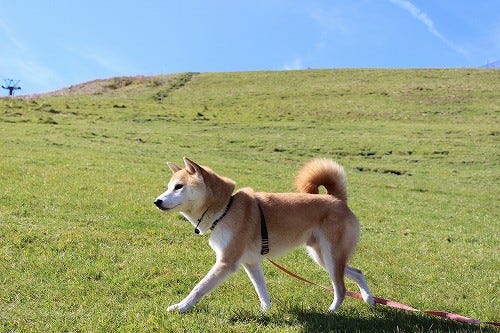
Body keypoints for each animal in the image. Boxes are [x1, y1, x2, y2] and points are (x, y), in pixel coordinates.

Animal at [154, 157, 374, 312]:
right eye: (168, 187)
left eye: (179, 187)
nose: (157, 201)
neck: (226, 208)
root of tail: (338, 199)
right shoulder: (250, 262)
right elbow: (262, 290)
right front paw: (265, 311)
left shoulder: (226, 262)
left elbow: (199, 288)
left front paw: (180, 307)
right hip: (322, 257)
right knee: (357, 272)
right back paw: (369, 299)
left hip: (330, 256)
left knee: (341, 288)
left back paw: (332, 311)